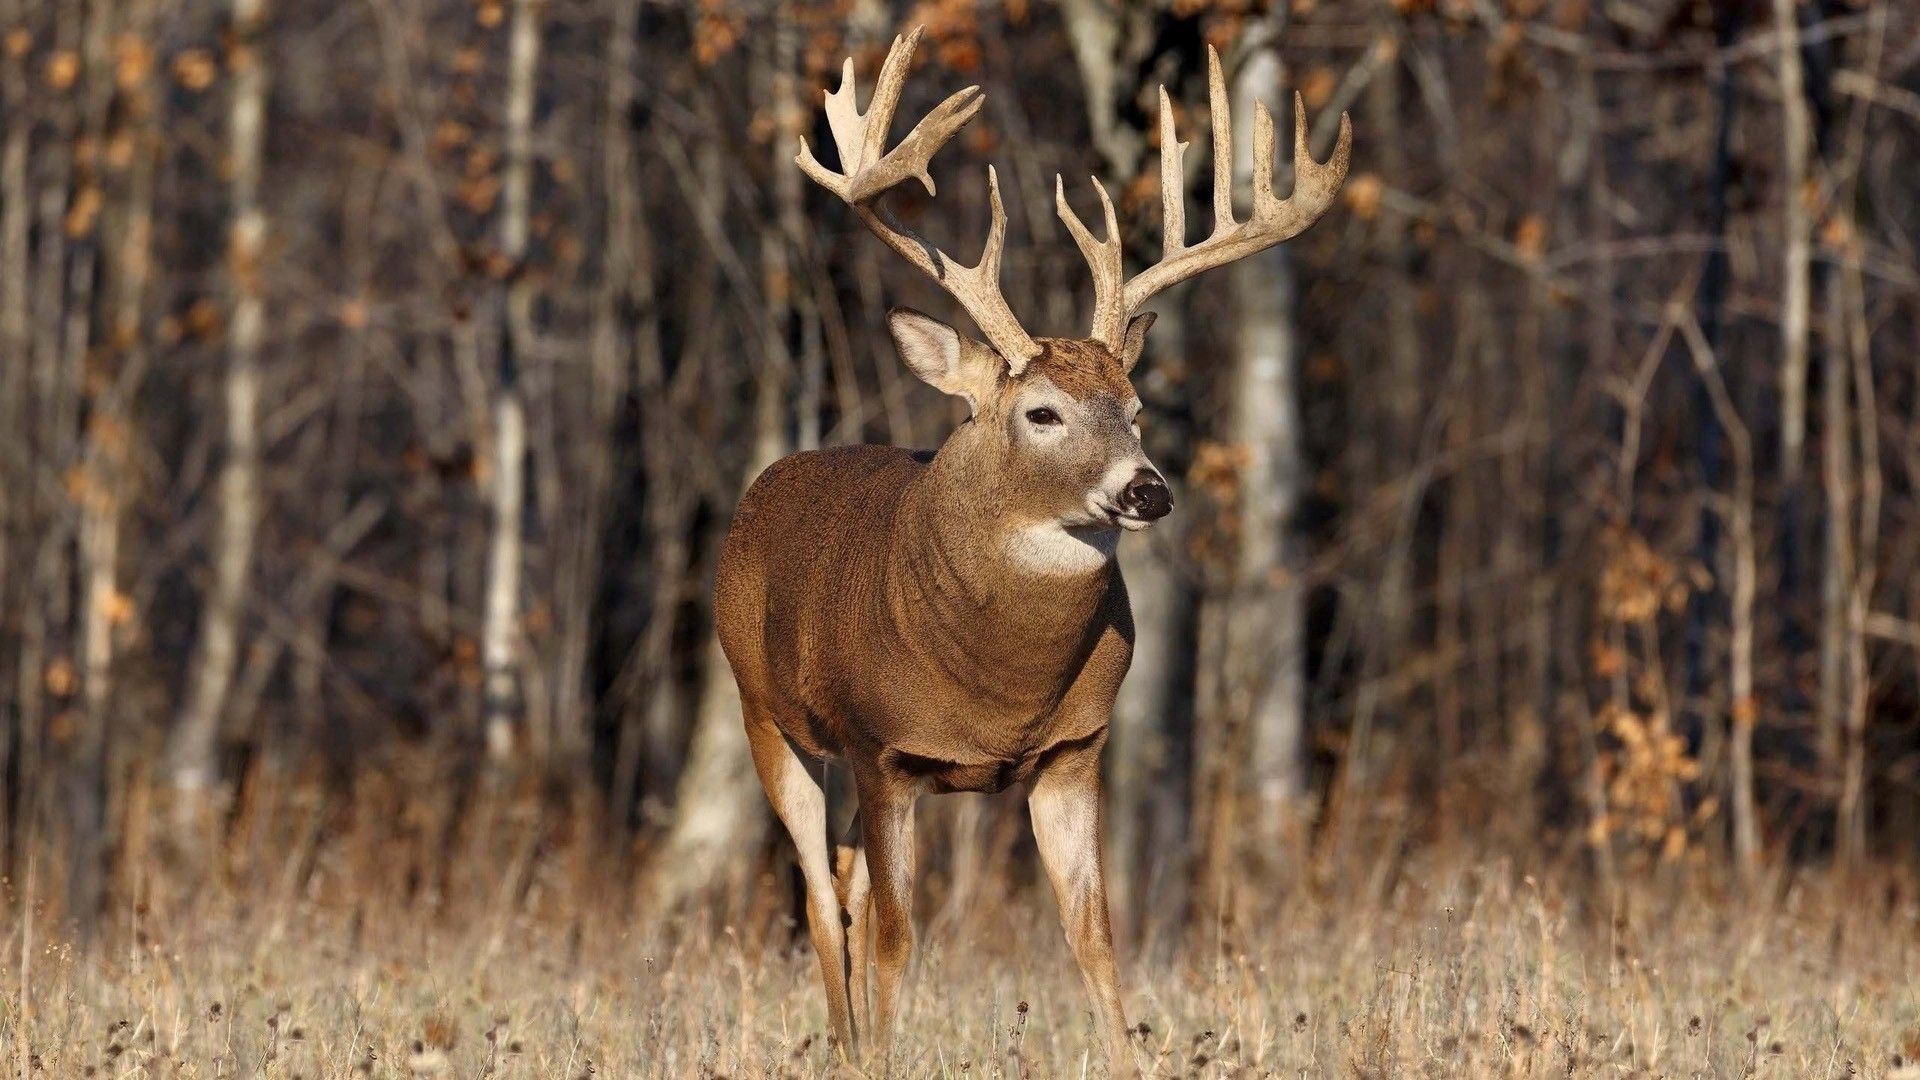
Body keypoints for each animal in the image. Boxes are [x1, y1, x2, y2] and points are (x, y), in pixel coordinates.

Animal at [713, 26, 1350, 1074]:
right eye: (1041, 412)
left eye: (1135, 406)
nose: (1147, 489)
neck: (999, 687)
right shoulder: (883, 748)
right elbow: (899, 936)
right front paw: (887, 1055)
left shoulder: (1074, 749)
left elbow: (1093, 934)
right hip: (767, 714)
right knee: (818, 893)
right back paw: (848, 1045)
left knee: (843, 881)